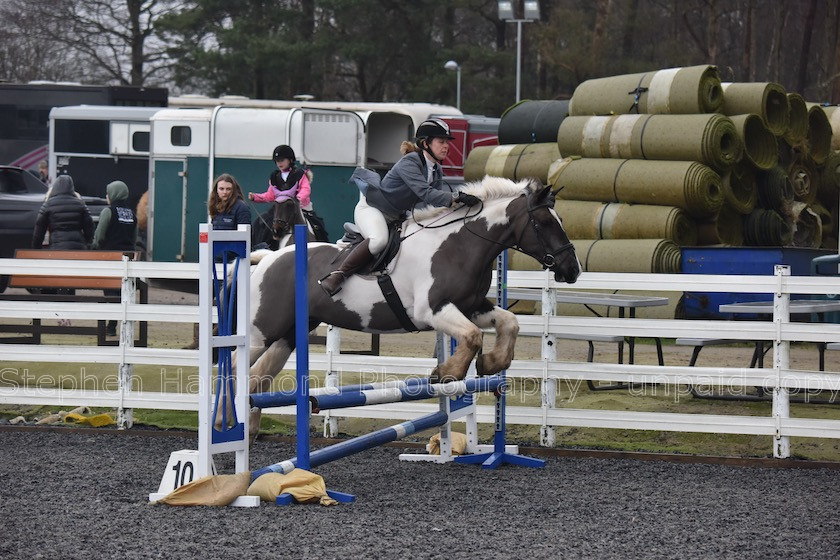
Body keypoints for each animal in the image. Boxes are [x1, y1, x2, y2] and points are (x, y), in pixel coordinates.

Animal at [246, 177, 580, 440]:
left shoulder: (471, 306)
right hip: (262, 333)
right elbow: (473, 336)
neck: (460, 246)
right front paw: (445, 374)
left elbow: (509, 322)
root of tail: (267, 258)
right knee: (240, 371)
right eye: (546, 223)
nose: (572, 269)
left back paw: (250, 429)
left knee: (256, 379)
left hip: (290, 333)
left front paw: (491, 363)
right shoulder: (432, 310)